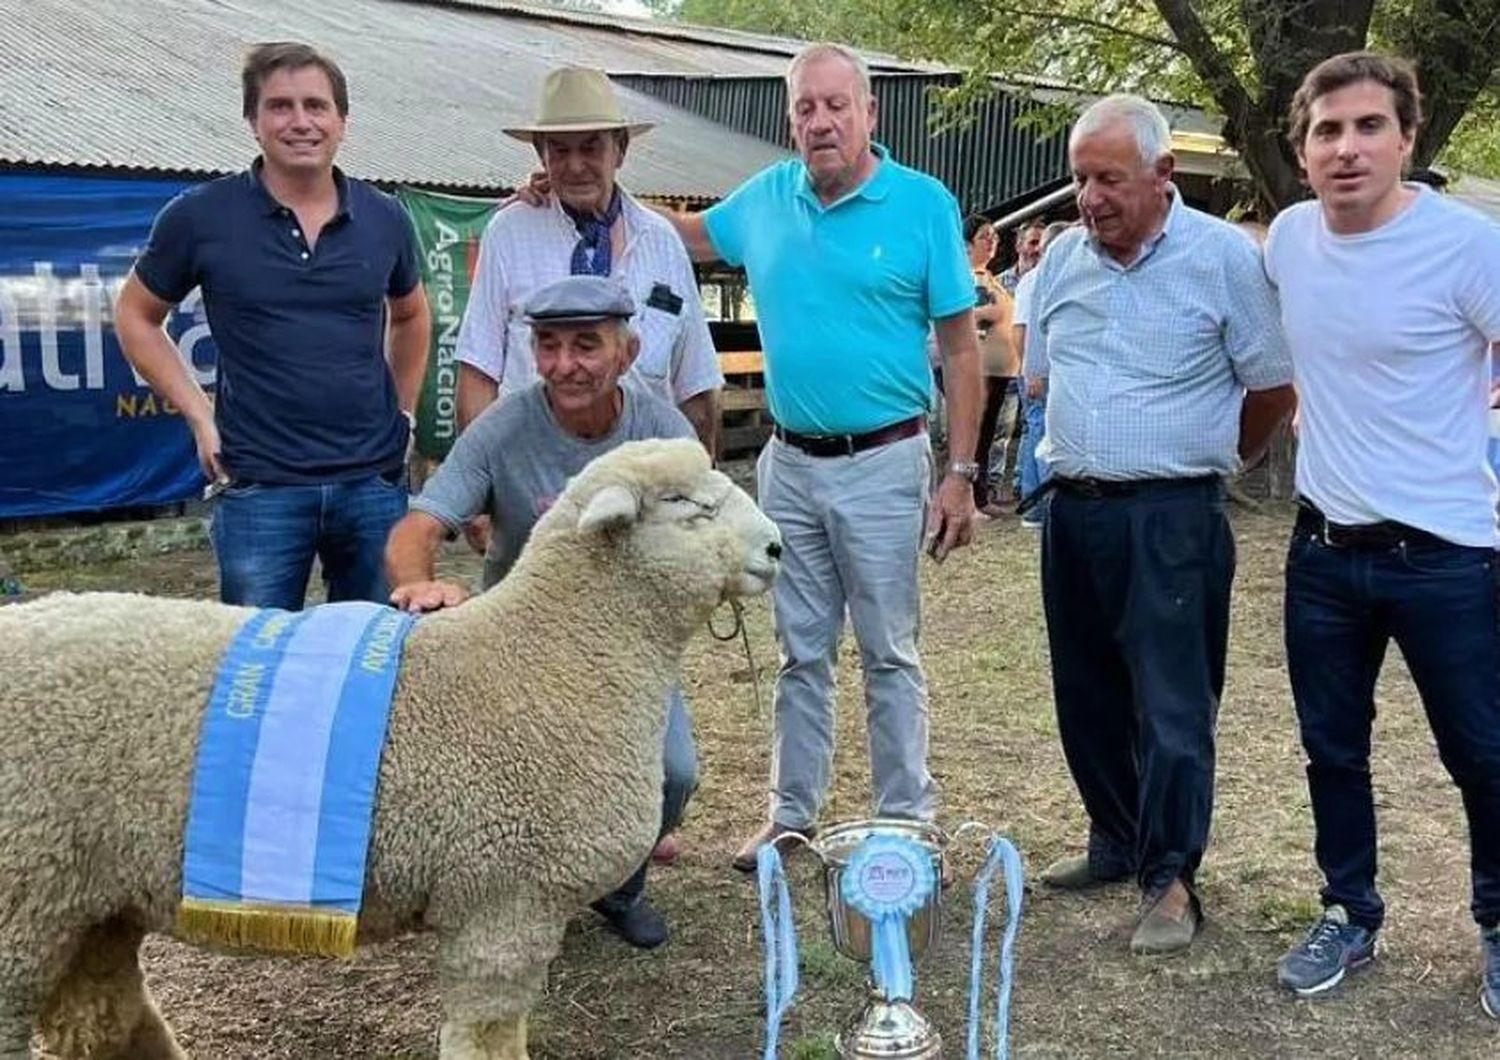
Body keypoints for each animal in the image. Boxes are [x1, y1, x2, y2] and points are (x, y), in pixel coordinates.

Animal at [0, 437, 792, 1060]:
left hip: (89, 899)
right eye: (688, 505)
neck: (544, 660)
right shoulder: (503, 904)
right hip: (22, 892)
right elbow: (487, 1039)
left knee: (96, 1020)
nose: (776, 548)